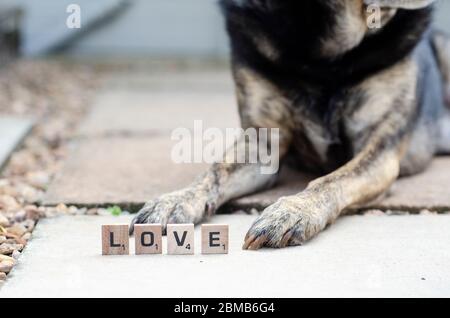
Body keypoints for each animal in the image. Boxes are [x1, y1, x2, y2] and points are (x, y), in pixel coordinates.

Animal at [130, 0, 450, 248]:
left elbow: (333, 179)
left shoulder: (380, 151)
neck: (323, 52)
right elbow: (215, 171)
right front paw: (175, 200)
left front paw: (293, 211)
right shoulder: (261, 145)